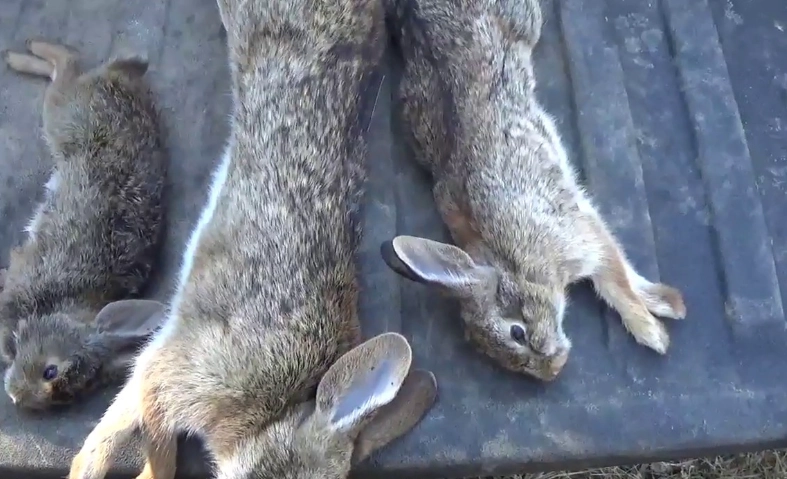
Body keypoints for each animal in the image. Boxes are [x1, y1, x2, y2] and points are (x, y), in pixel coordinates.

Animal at [0, 40, 167, 409]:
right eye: (51, 371)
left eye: (61, 389)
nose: (17, 397)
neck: (62, 304)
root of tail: (121, 80)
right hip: (63, 113)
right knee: (67, 66)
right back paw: (23, 53)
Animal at [380, 0, 687, 381]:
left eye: (517, 332)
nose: (554, 370)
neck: (511, 262)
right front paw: (665, 309)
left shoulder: (580, 235)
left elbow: (616, 282)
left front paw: (653, 328)